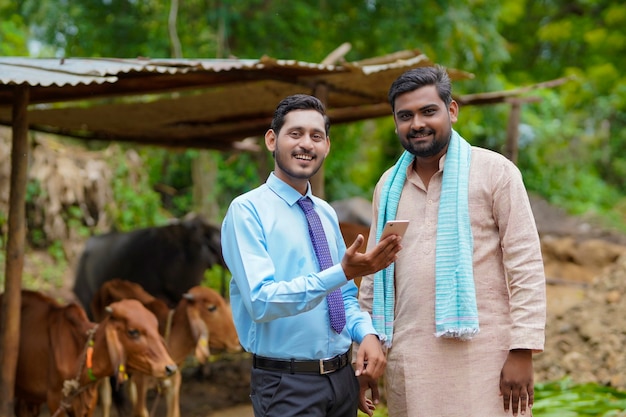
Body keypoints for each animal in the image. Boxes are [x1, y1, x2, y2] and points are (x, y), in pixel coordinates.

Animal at [3, 290, 177, 416]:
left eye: (156, 327)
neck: (80, 353)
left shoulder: (90, 402)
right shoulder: (55, 400)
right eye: (133, 332)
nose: (170, 368)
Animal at [90, 278, 239, 417]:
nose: (238, 342)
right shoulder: (141, 382)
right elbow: (141, 411)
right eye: (212, 307)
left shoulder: (174, 384)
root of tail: (109, 283)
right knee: (106, 396)